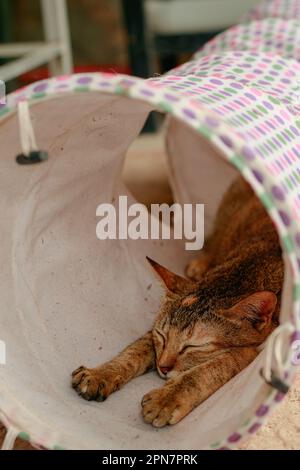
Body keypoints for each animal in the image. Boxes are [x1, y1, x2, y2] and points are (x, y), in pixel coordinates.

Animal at [71, 175, 282, 426]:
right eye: (162, 335)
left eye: (193, 346)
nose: (162, 368)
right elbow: (135, 350)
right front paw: (101, 373)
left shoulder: (253, 350)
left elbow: (209, 369)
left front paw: (168, 398)